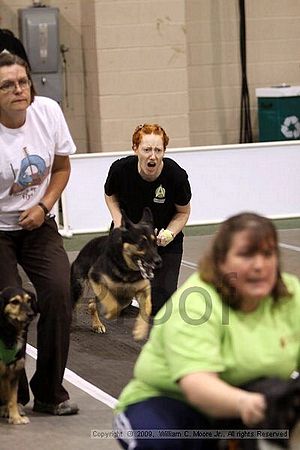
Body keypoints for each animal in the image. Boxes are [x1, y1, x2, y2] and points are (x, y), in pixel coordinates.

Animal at [0, 288, 37, 426]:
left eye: (29, 300)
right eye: (15, 302)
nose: (31, 314)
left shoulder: (15, 371)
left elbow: (13, 398)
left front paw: (16, 417)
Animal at [70, 207, 162, 342]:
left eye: (155, 242)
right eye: (141, 243)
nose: (158, 261)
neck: (126, 268)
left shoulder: (143, 289)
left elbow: (147, 307)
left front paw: (140, 330)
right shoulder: (97, 279)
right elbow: (113, 305)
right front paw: (110, 313)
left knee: (92, 305)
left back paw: (97, 324)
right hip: (80, 288)